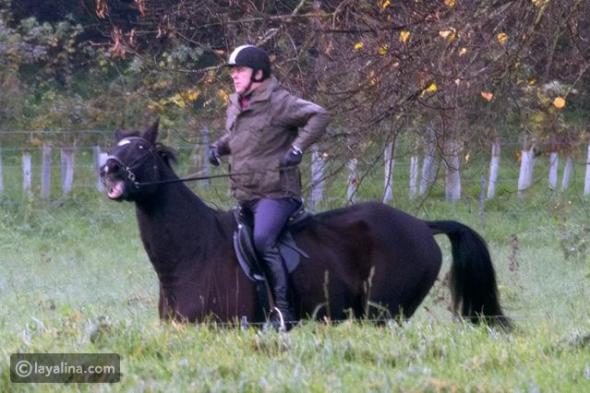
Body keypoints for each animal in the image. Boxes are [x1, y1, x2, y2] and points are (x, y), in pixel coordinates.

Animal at [99, 121, 512, 328]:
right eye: (115, 147)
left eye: (139, 149)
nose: (108, 169)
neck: (194, 252)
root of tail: (422, 226)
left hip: (384, 315)